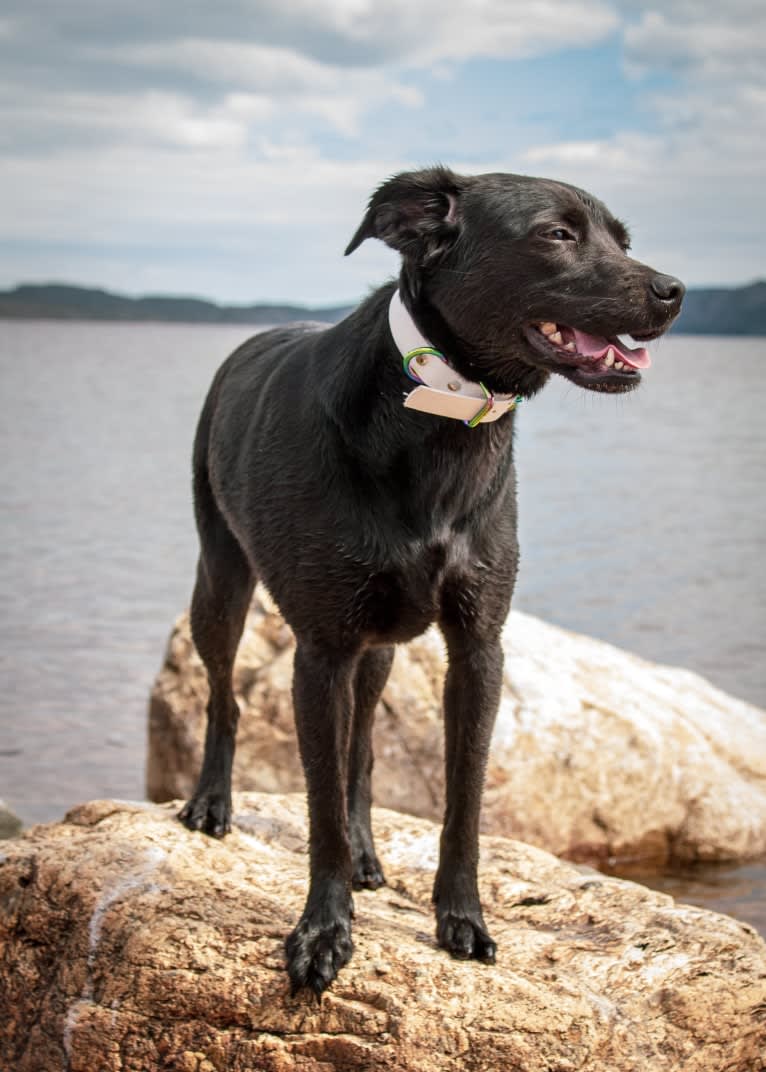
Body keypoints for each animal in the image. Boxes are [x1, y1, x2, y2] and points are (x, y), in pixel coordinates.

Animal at [177, 167, 681, 994]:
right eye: (557, 234)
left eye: (623, 239)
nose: (675, 290)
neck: (440, 414)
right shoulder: (322, 649)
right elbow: (317, 805)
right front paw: (322, 931)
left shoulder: (478, 647)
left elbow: (459, 798)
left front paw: (461, 919)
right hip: (220, 582)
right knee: (224, 697)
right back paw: (210, 804)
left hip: (380, 646)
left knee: (361, 752)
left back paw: (367, 852)